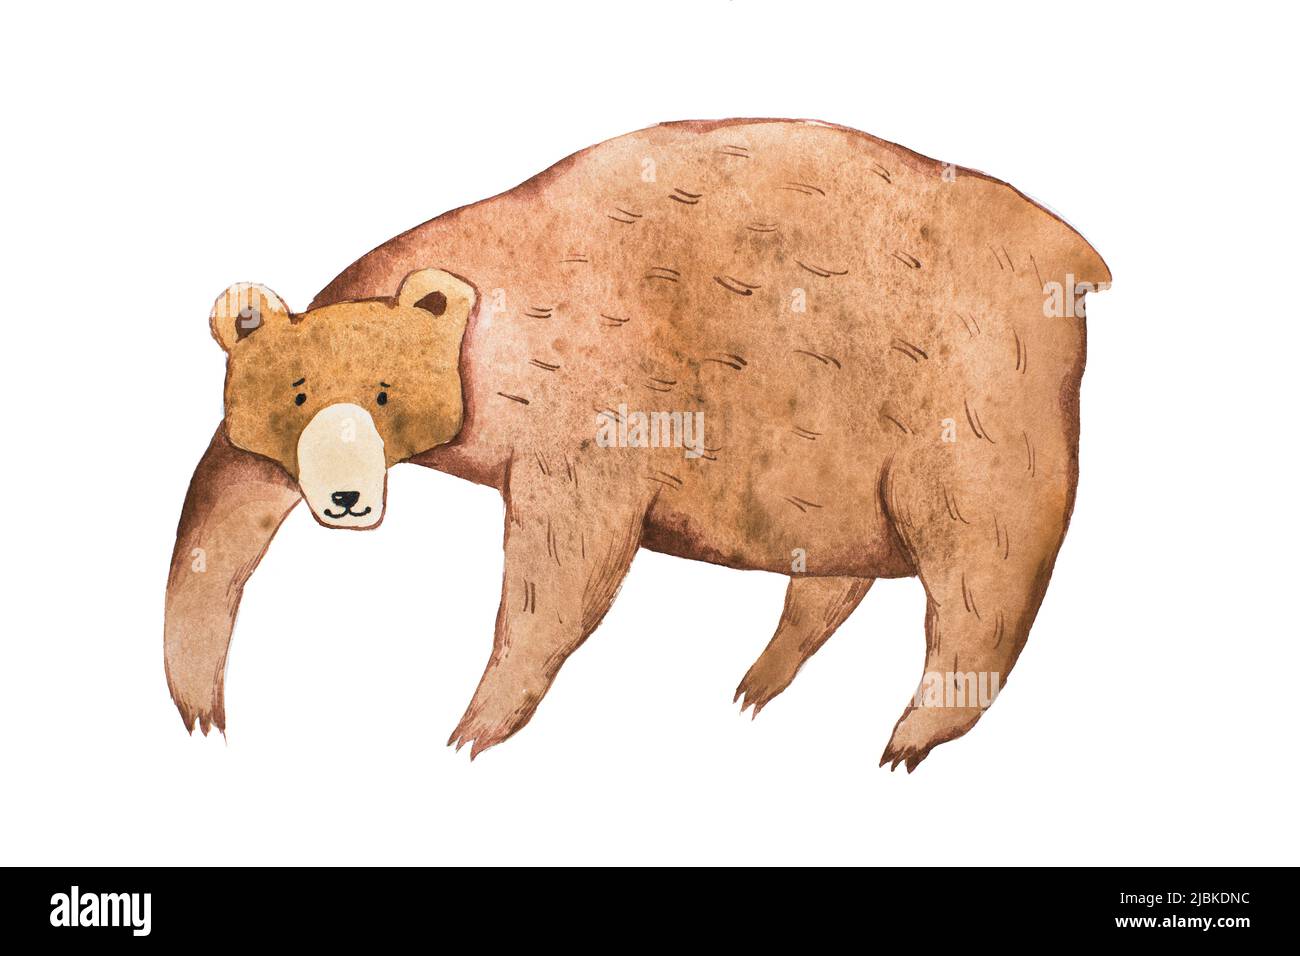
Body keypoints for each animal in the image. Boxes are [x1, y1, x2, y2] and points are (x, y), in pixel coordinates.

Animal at [165, 118, 1109, 770]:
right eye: (293, 397)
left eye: (385, 393)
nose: (344, 497)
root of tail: (1083, 261)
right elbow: (227, 493)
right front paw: (199, 697)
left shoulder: (591, 414)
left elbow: (561, 571)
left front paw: (474, 725)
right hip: (845, 451)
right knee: (841, 570)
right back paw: (760, 683)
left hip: (975, 396)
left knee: (979, 565)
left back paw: (907, 733)